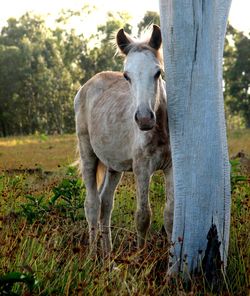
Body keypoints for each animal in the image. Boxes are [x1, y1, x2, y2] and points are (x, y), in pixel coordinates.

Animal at [73, 25, 173, 256]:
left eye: (158, 73)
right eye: (127, 76)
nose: (144, 119)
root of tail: (85, 86)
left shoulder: (171, 166)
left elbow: (170, 216)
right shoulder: (142, 168)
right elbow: (143, 217)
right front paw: (141, 258)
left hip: (113, 166)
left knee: (105, 204)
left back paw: (108, 256)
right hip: (88, 153)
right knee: (92, 204)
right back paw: (92, 256)